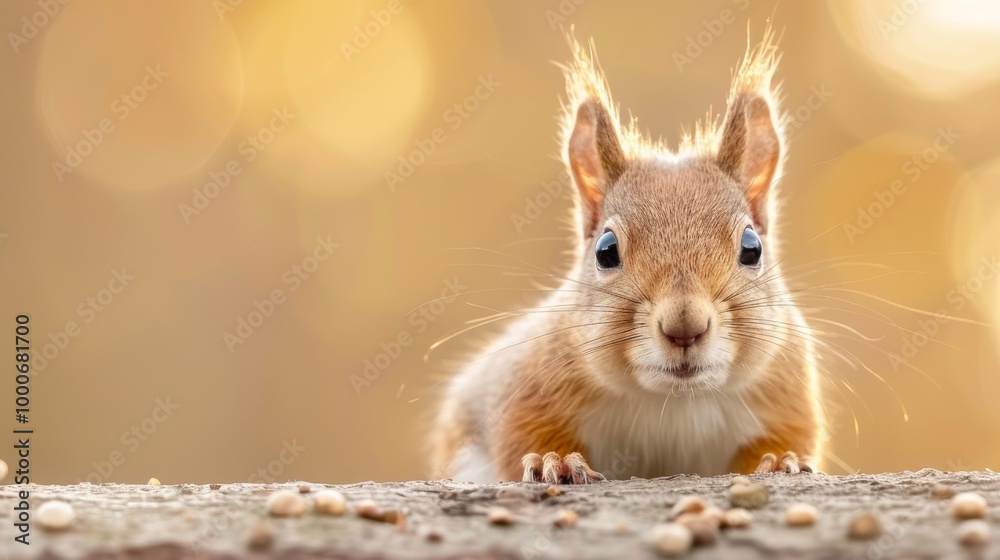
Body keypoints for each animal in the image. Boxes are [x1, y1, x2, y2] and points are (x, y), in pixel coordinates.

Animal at [432, 28, 826, 484]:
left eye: (752, 248)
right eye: (606, 251)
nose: (684, 327)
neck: (675, 402)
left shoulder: (785, 394)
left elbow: (787, 437)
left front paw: (781, 461)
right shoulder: (525, 385)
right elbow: (521, 435)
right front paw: (555, 461)